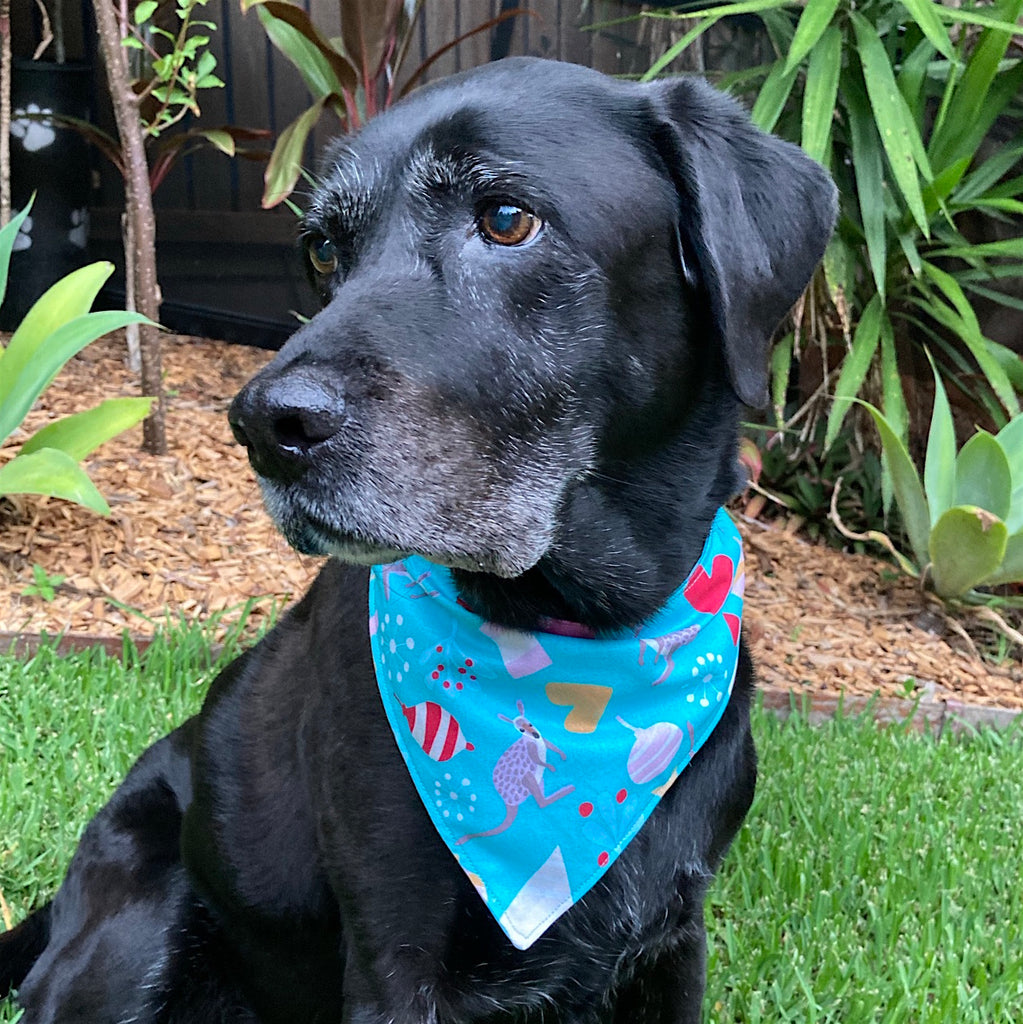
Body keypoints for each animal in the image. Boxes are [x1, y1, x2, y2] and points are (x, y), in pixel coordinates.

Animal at [0, 58, 831, 1024]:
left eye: (505, 219)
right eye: (325, 250)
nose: (262, 426)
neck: (578, 636)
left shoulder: (669, 939)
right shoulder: (396, 963)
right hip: (139, 930)